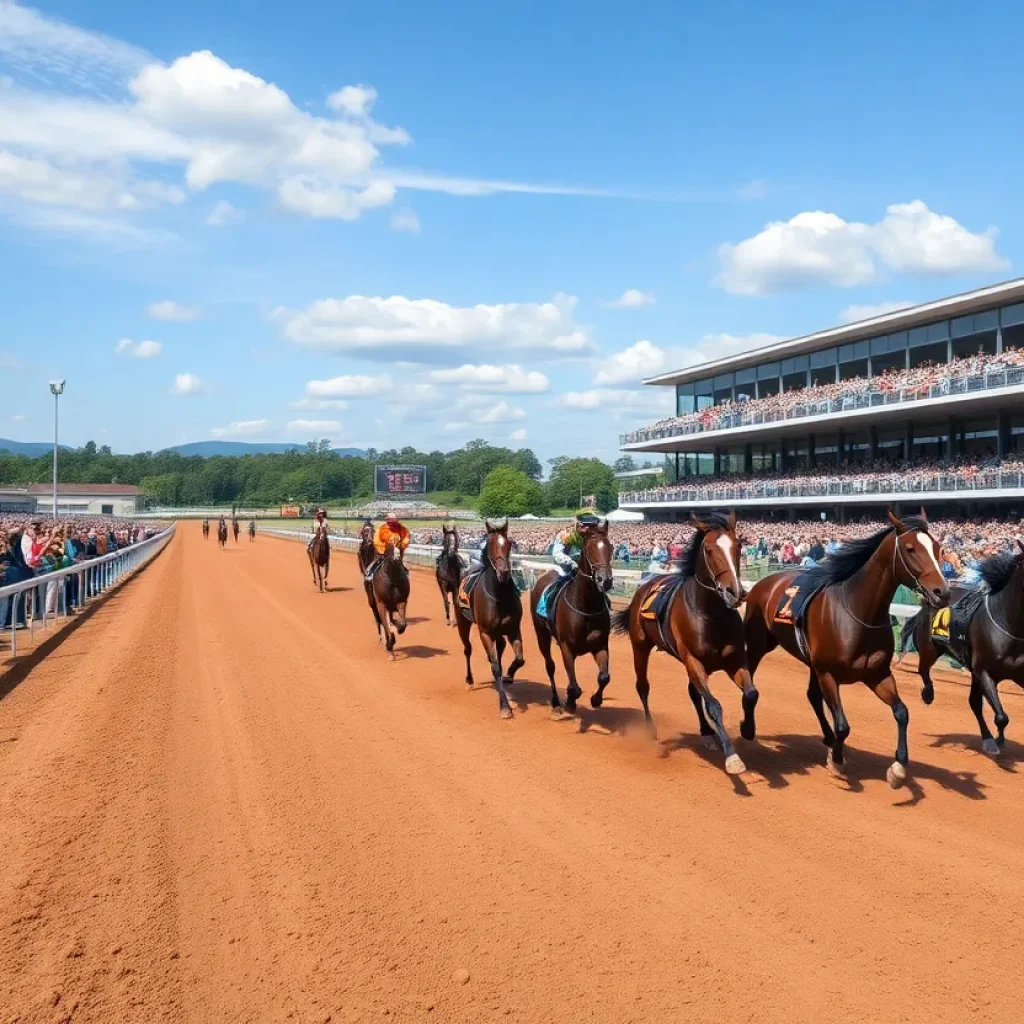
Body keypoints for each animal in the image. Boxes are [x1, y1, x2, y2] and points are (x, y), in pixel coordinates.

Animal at [458, 520, 528, 720]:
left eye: (509, 543)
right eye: (489, 544)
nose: (503, 572)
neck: (499, 595)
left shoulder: (513, 629)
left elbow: (519, 659)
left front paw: (509, 675)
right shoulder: (486, 632)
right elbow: (495, 666)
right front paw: (504, 706)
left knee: (501, 647)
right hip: (463, 622)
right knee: (467, 649)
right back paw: (469, 680)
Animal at [532, 516, 610, 716]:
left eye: (611, 547)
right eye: (589, 550)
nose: (605, 580)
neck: (586, 608)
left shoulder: (600, 645)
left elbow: (604, 677)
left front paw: (596, 699)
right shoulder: (567, 647)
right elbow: (575, 687)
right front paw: (569, 701)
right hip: (542, 635)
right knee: (550, 667)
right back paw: (555, 702)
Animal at [606, 512, 753, 774]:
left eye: (738, 545)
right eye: (709, 549)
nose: (734, 592)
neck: (712, 615)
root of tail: (643, 588)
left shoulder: (734, 661)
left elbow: (750, 694)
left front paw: (747, 728)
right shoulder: (694, 661)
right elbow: (714, 705)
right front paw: (732, 757)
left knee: (693, 693)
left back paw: (706, 733)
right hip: (640, 646)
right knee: (643, 686)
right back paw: (652, 733)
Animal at [741, 507, 946, 786]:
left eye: (937, 548)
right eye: (910, 548)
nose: (942, 592)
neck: (858, 613)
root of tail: (764, 582)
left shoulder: (876, 674)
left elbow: (902, 712)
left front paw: (899, 767)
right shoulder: (828, 674)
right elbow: (843, 725)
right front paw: (837, 761)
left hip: (811, 663)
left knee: (813, 696)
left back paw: (827, 737)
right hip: (759, 643)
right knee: (750, 680)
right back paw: (748, 728)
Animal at [901, 544, 1024, 753]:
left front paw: (997, 740)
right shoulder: (984, 671)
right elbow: (1001, 717)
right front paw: (998, 742)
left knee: (974, 703)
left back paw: (987, 739)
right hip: (929, 649)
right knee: (923, 670)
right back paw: (928, 694)